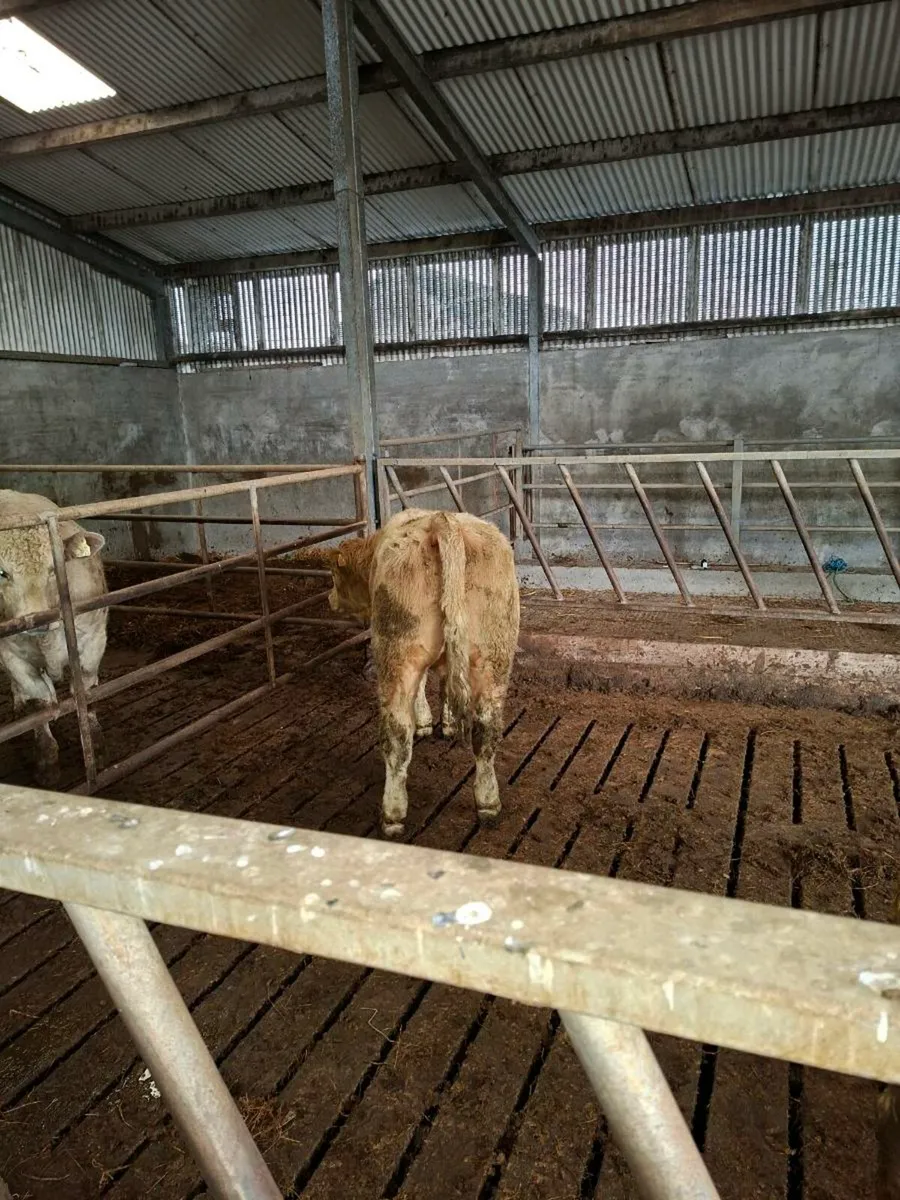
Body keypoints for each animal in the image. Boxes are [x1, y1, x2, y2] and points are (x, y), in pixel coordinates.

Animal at [0, 490, 107, 784]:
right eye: (2, 572)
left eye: (53, 567)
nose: (37, 618)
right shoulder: (11, 655)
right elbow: (40, 702)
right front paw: (47, 761)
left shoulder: (93, 639)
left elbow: (86, 687)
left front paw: (95, 740)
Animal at [323, 507, 520, 837]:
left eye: (335, 578)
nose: (329, 600)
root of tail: (441, 520)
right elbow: (445, 683)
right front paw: (448, 724)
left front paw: (427, 722)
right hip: (494, 656)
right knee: (486, 731)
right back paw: (488, 804)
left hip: (397, 654)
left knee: (398, 735)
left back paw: (392, 814)